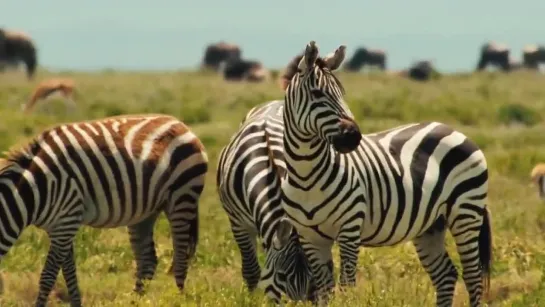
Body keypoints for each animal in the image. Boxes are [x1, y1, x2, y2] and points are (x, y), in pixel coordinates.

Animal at [0, 114, 207, 306]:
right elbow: (69, 272)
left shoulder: (67, 220)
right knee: (147, 261)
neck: (34, 190)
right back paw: (134, 303)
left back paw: (177, 300)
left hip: (182, 197)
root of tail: (180, 123)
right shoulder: (60, 227)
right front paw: (76, 303)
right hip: (146, 212)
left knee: (180, 259)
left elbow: (48, 276)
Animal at [272, 41, 492, 307]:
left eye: (342, 93)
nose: (353, 137)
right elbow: (326, 291)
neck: (306, 176)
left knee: (472, 276)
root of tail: (454, 130)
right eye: (317, 94)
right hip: (431, 225)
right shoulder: (310, 238)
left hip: (466, 212)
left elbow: (346, 285)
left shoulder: (349, 228)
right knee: (446, 275)